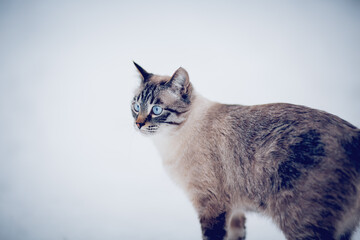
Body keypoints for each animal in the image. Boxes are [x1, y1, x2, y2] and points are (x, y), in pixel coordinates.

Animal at [130, 62, 360, 240]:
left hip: (303, 225)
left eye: (156, 110)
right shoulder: (235, 211)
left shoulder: (211, 206)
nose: (138, 124)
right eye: (136, 106)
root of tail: (354, 136)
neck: (168, 143)